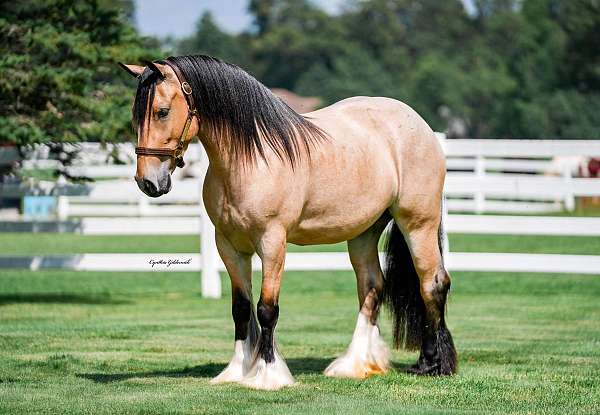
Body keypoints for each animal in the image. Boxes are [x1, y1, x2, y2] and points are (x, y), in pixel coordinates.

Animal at [120, 54, 460, 390]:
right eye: (136, 116)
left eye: (162, 112)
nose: (148, 182)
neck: (249, 160)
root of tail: (420, 126)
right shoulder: (229, 245)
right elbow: (241, 308)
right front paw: (237, 371)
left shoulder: (272, 242)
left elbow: (266, 309)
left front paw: (268, 374)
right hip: (364, 232)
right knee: (373, 287)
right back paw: (356, 365)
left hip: (418, 223)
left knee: (432, 283)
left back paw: (431, 364)